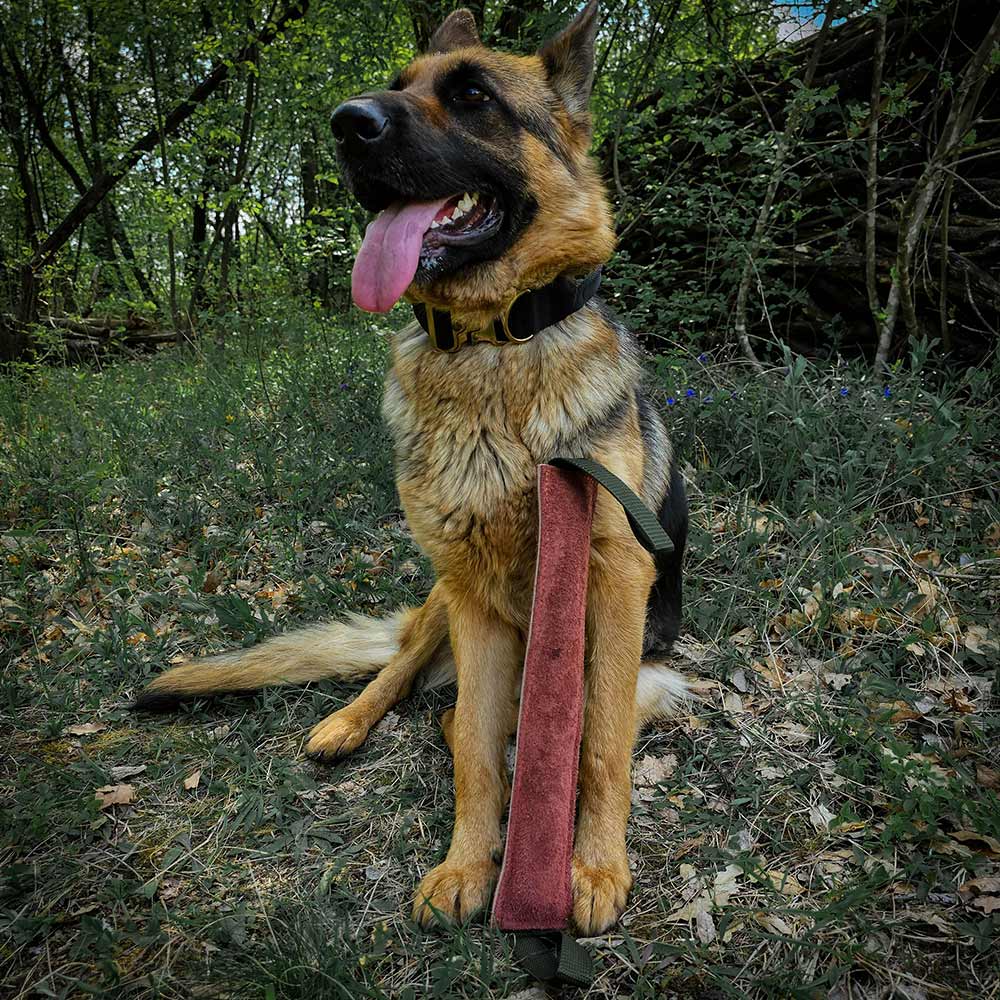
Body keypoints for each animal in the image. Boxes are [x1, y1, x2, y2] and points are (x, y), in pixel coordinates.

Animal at [139, 1, 688, 936]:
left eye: (472, 96)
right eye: (397, 86)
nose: (344, 123)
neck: (492, 348)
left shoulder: (615, 584)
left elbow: (600, 739)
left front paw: (592, 866)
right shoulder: (469, 587)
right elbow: (474, 748)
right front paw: (469, 862)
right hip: (438, 603)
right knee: (409, 681)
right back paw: (350, 722)